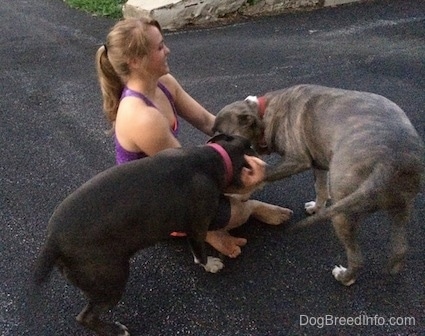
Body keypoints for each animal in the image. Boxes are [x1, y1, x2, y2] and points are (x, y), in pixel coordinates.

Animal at [32, 135, 255, 336]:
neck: (215, 157)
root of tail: (53, 240)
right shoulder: (200, 223)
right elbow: (199, 251)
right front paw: (210, 264)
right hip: (112, 279)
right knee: (86, 317)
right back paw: (115, 330)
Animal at [214, 84, 422, 286]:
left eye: (225, 136)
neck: (263, 113)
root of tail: (391, 159)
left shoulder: (298, 160)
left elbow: (264, 174)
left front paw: (240, 194)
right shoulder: (319, 163)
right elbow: (320, 188)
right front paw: (316, 207)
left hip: (343, 212)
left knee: (357, 259)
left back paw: (344, 277)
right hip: (400, 208)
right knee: (400, 247)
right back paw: (392, 270)